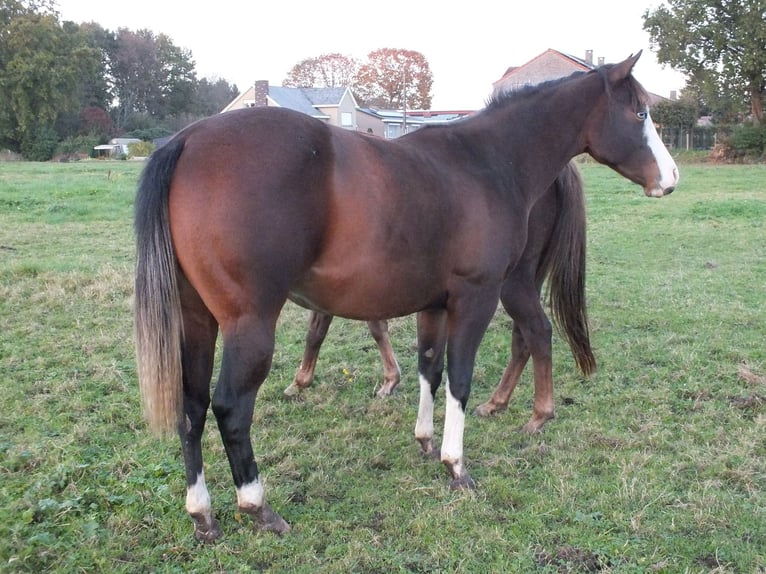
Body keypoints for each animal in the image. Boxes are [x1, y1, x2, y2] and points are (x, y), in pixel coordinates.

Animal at [284, 160, 596, 434]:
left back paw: (537, 416)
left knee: (537, 331)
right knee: (523, 338)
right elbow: (373, 327)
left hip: (513, 283)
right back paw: (496, 403)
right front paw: (390, 380)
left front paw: (300, 381)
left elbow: (317, 332)